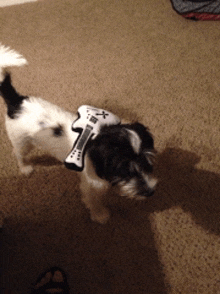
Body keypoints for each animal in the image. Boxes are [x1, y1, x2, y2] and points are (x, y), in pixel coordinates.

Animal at [0, 43, 158, 223]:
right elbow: (93, 200)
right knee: (19, 153)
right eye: (124, 168)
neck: (98, 135)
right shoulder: (91, 184)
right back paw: (25, 168)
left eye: (148, 160)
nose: (150, 191)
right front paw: (100, 215)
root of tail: (17, 101)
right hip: (23, 141)